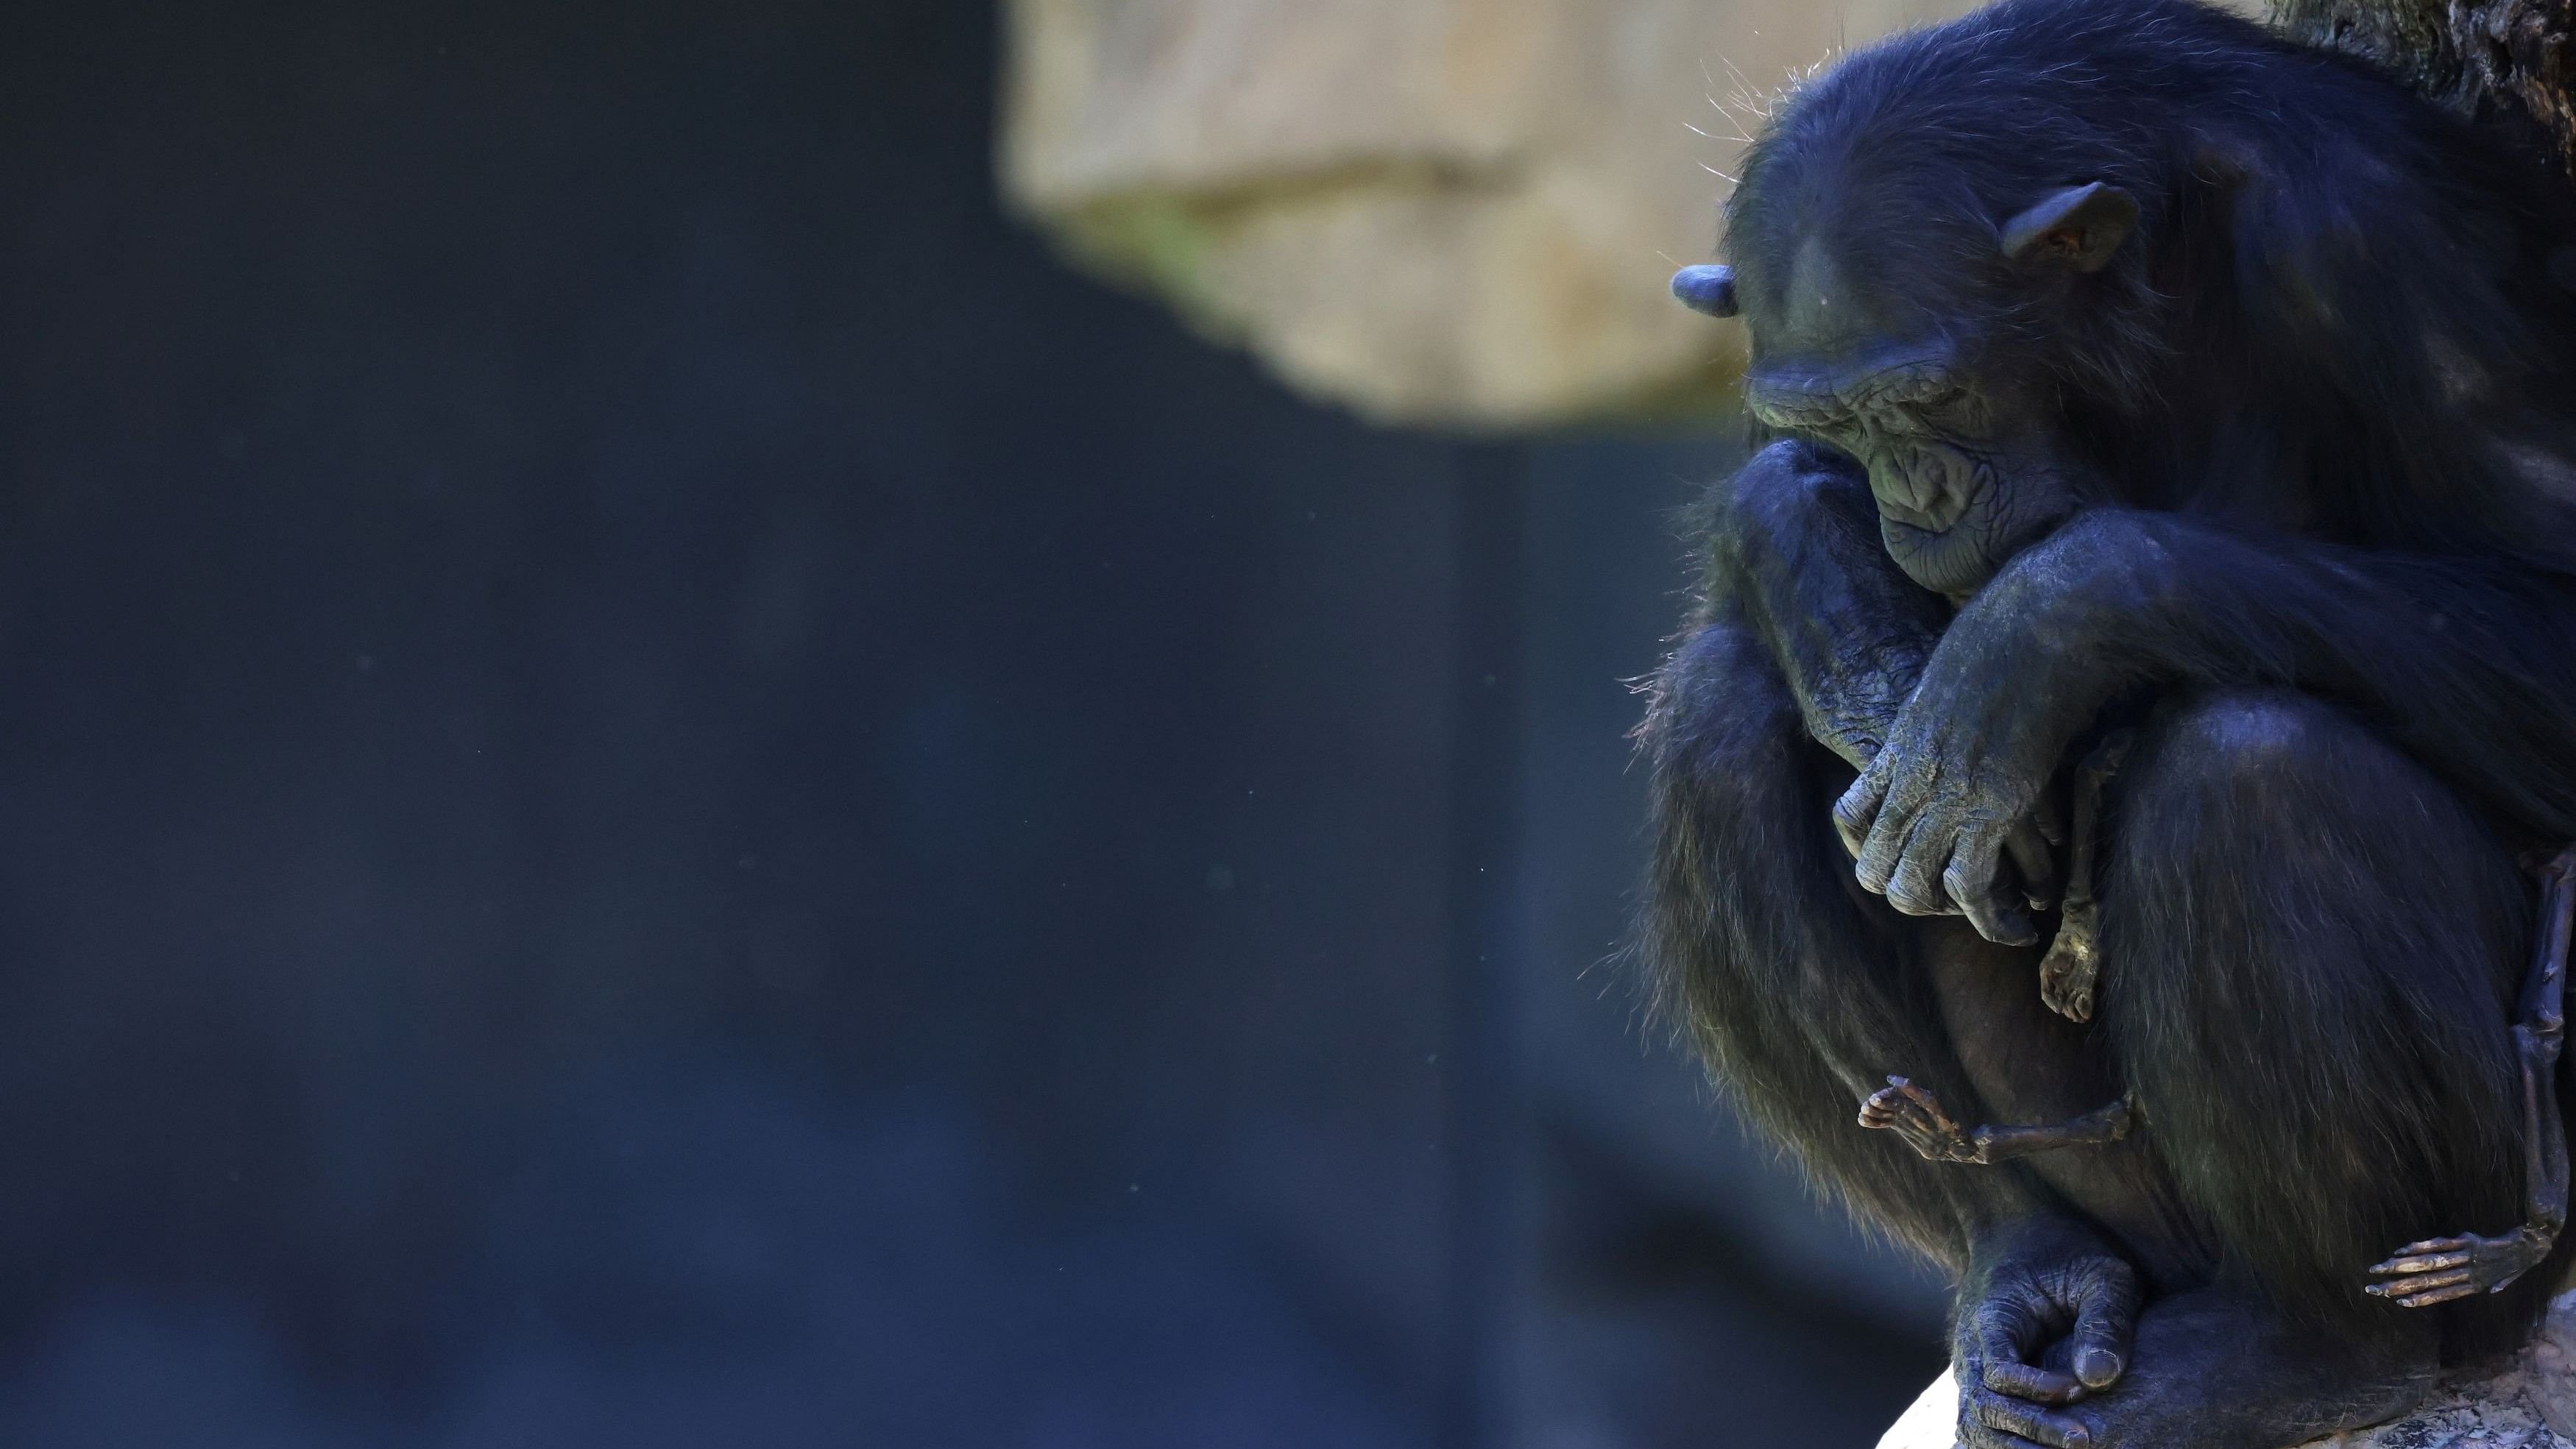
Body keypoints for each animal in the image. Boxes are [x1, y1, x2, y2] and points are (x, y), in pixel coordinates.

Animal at [1638, 2, 2576, 1449]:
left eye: (1932, 398)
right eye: (1836, 417)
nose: (1915, 493)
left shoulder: (2383, 251)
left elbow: (2551, 595)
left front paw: (2044, 629)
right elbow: (1767, 527)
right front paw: (1834, 593)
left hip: (2502, 1235)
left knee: (2254, 773)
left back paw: (2307, 1349)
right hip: (2103, 1177)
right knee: (1720, 724)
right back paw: (2024, 1259)